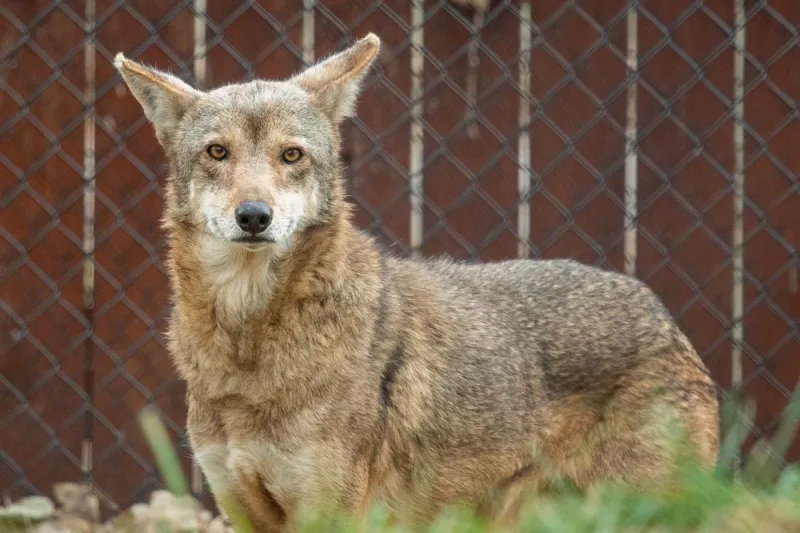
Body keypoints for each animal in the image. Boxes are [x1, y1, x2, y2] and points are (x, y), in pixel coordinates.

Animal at [115, 33, 719, 531]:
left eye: (291, 155)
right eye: (217, 152)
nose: (254, 216)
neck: (248, 347)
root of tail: (664, 317)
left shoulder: (331, 515)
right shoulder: (243, 510)